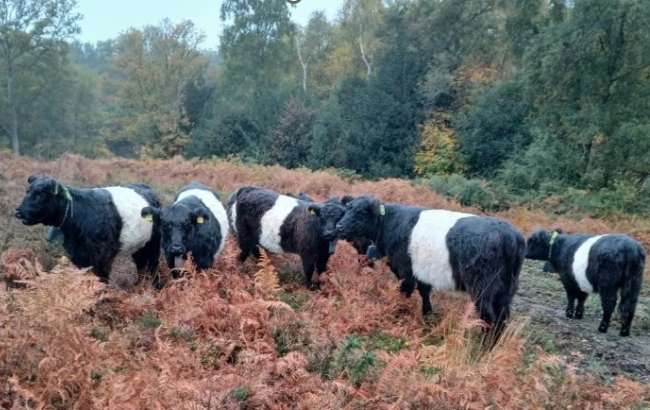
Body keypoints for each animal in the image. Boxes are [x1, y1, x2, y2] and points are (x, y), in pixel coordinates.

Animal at [15, 175, 162, 288]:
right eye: (27, 191)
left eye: (40, 194)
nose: (18, 211)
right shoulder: (79, 256)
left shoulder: (102, 256)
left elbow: (101, 279)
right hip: (139, 246)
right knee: (141, 265)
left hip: (153, 244)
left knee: (153, 265)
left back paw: (155, 288)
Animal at [336, 195, 525, 342]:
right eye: (347, 209)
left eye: (360, 213)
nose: (339, 226)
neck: (390, 223)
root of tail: (511, 235)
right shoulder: (422, 271)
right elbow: (424, 291)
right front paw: (427, 313)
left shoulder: (405, 270)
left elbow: (404, 292)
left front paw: (399, 312)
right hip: (507, 288)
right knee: (502, 317)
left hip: (483, 287)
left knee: (488, 317)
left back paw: (481, 347)